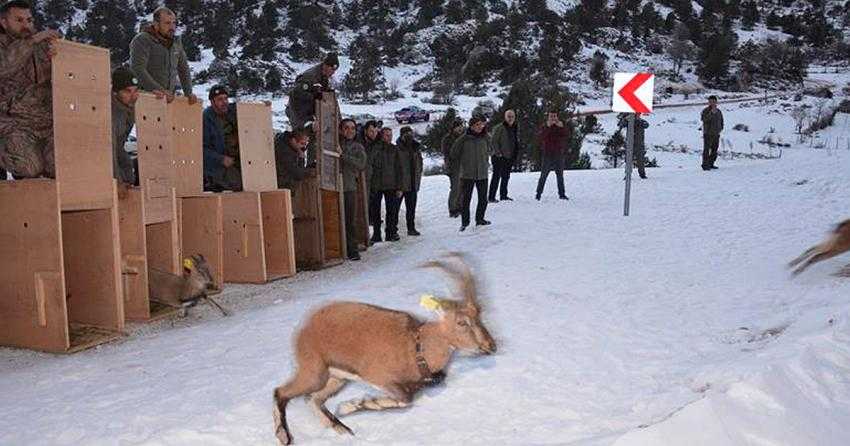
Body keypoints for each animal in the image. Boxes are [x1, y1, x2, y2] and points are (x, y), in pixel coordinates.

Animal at [272, 253, 496, 444]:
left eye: (479, 314)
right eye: (461, 322)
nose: (490, 345)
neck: (416, 347)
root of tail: (304, 328)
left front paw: (349, 407)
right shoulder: (380, 376)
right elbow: (405, 399)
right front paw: (352, 405)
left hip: (337, 378)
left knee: (314, 399)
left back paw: (342, 429)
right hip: (314, 371)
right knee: (281, 392)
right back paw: (284, 436)